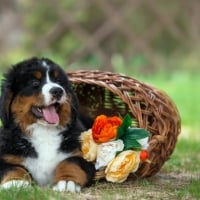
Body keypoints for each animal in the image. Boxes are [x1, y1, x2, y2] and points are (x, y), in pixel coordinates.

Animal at [0, 57, 95, 192]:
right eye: (34, 82)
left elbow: (70, 163)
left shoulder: (80, 154)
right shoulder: (6, 157)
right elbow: (13, 168)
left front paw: (67, 181)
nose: (57, 90)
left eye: (59, 81)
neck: (44, 131)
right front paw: (16, 183)